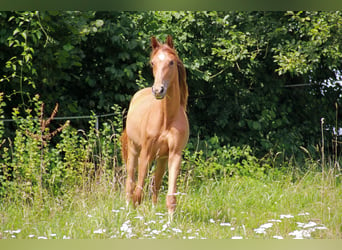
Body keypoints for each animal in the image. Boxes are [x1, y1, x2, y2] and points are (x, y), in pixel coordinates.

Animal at [121, 34, 190, 216]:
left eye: (171, 62)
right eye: (153, 63)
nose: (158, 90)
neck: (166, 119)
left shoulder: (174, 155)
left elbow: (171, 198)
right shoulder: (146, 153)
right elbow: (138, 194)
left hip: (161, 159)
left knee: (155, 185)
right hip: (134, 150)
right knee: (130, 184)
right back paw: (125, 210)